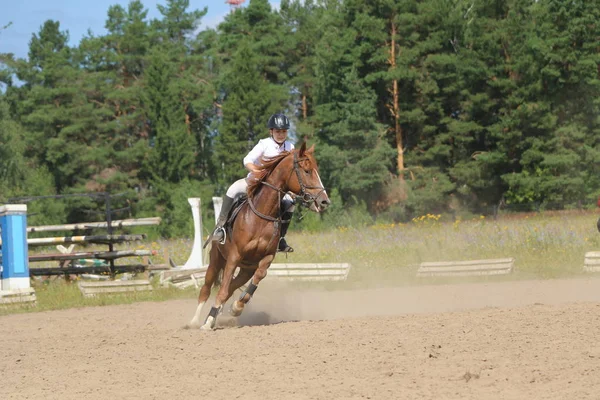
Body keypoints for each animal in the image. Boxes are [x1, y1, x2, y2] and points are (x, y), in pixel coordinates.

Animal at [190, 142, 330, 330]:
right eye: (307, 171)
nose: (324, 201)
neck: (263, 215)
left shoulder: (265, 258)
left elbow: (255, 280)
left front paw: (236, 307)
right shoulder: (234, 257)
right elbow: (223, 289)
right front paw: (209, 321)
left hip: (246, 269)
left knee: (232, 286)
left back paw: (217, 314)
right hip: (216, 259)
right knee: (207, 288)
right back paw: (196, 321)